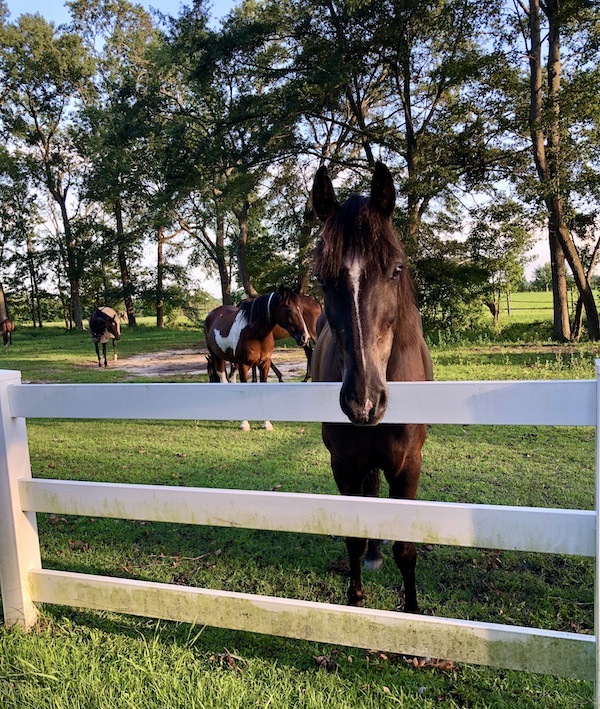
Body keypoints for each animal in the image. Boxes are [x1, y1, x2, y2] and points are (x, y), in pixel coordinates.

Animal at [204, 286, 310, 430]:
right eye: (289, 309)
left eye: (302, 310)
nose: (305, 337)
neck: (254, 332)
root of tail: (212, 313)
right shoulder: (244, 365)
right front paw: (244, 424)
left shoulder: (264, 364)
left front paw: (267, 424)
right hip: (217, 356)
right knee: (223, 379)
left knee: (231, 378)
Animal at [311, 162, 433, 613]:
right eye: (321, 277)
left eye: (395, 269)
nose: (363, 402)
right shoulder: (343, 465)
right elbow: (353, 537)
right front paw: (356, 599)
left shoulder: (409, 466)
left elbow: (406, 549)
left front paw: (412, 611)